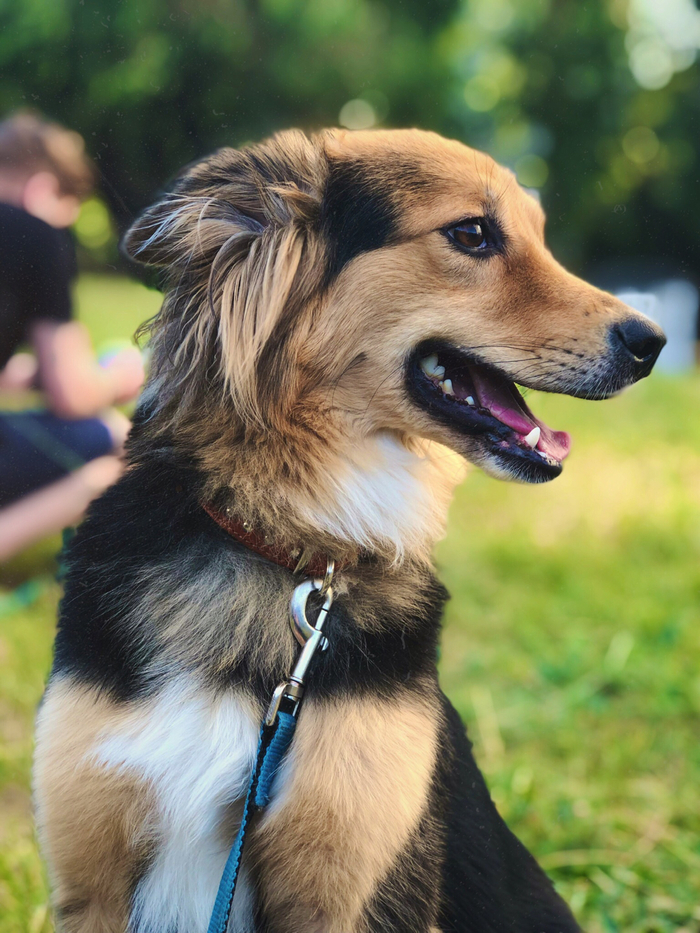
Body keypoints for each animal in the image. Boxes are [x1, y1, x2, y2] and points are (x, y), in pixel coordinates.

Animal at [33, 128, 665, 933]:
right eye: (472, 234)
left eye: (540, 237)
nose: (653, 342)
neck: (287, 542)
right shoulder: (92, 882)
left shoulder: (349, 882)